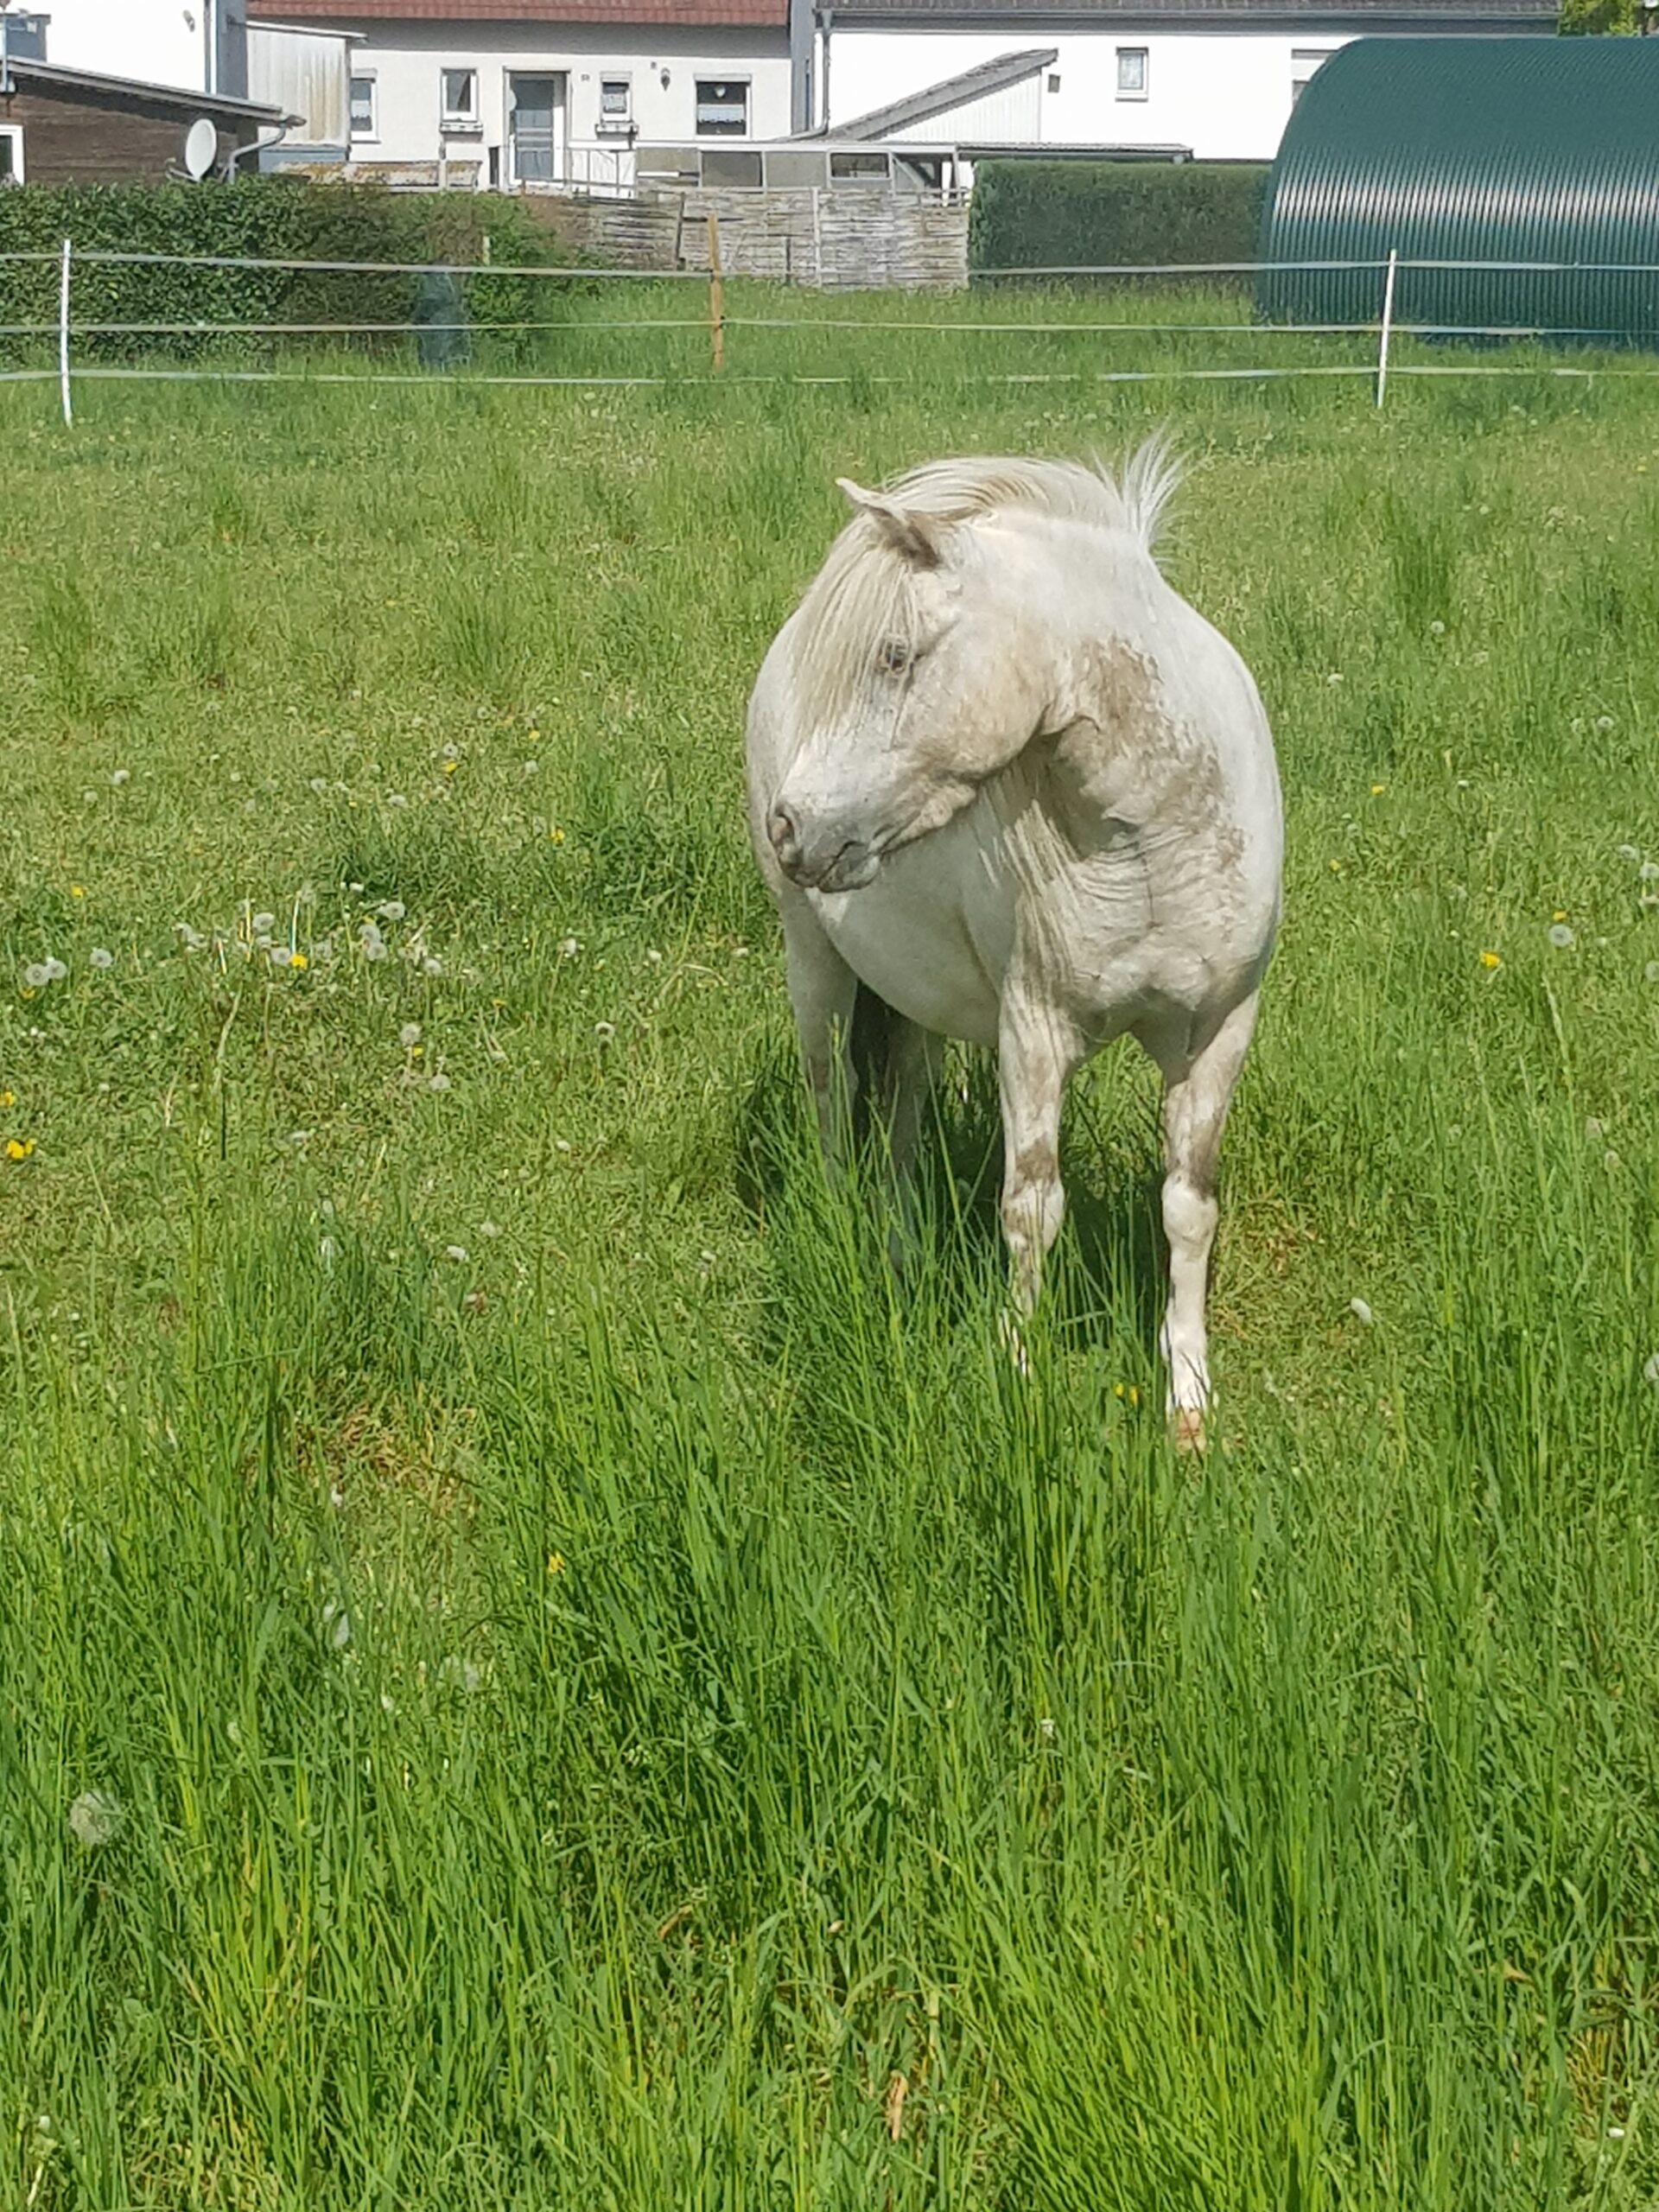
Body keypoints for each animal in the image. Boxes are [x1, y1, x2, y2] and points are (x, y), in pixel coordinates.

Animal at [745, 447, 1282, 1447]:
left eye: (895, 655)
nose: (793, 826)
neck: (1154, 844)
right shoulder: (1033, 1032)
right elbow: (1030, 1205)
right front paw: (1018, 1379)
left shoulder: (1221, 1029)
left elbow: (1188, 1208)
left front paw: (1188, 1403)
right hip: (814, 963)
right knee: (833, 1102)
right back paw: (848, 1239)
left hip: (912, 992)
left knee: (904, 1110)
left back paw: (899, 1248)